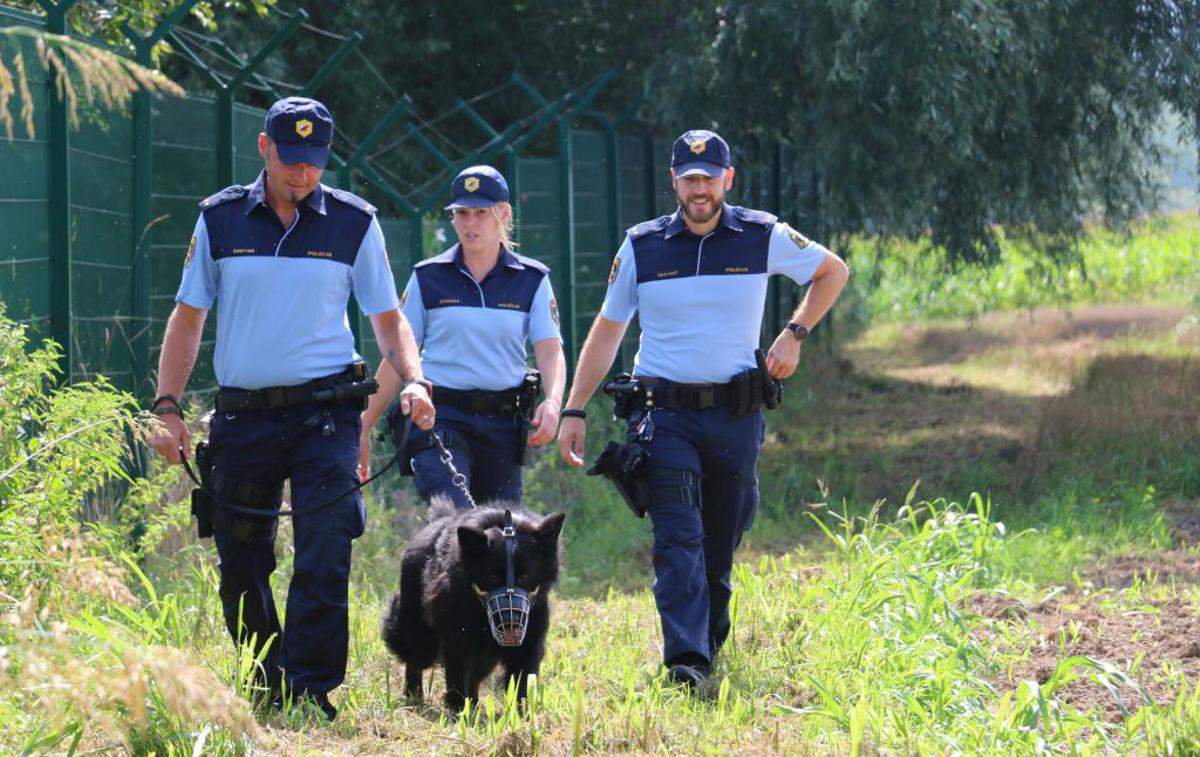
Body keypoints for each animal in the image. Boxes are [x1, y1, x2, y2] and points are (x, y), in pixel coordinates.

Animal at [386, 501, 568, 715]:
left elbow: (522, 677)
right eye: (493, 577)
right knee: (415, 660)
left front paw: (521, 714)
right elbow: (457, 674)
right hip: (420, 636)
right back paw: (413, 698)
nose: (511, 625)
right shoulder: (458, 636)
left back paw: (472, 703)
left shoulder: (530, 635)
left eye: (524, 576)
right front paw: (456, 711)